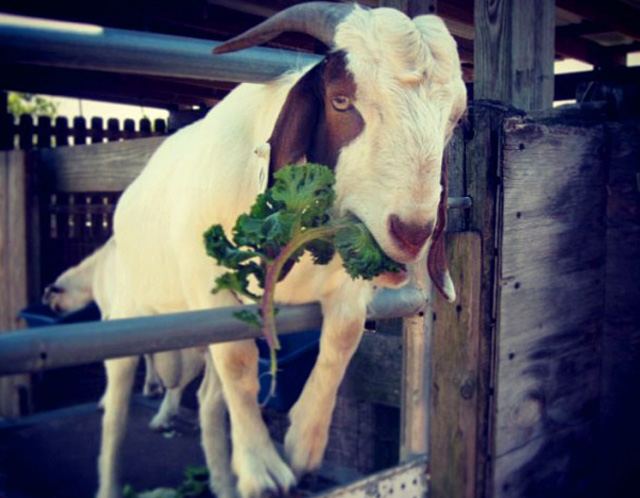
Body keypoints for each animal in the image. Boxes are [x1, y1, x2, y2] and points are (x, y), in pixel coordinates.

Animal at [96, 3, 464, 498]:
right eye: (341, 101)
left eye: (454, 119)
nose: (411, 231)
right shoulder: (208, 285)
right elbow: (239, 361)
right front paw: (264, 469)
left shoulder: (346, 287)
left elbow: (342, 338)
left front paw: (303, 445)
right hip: (131, 311)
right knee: (116, 405)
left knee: (208, 399)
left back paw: (222, 480)